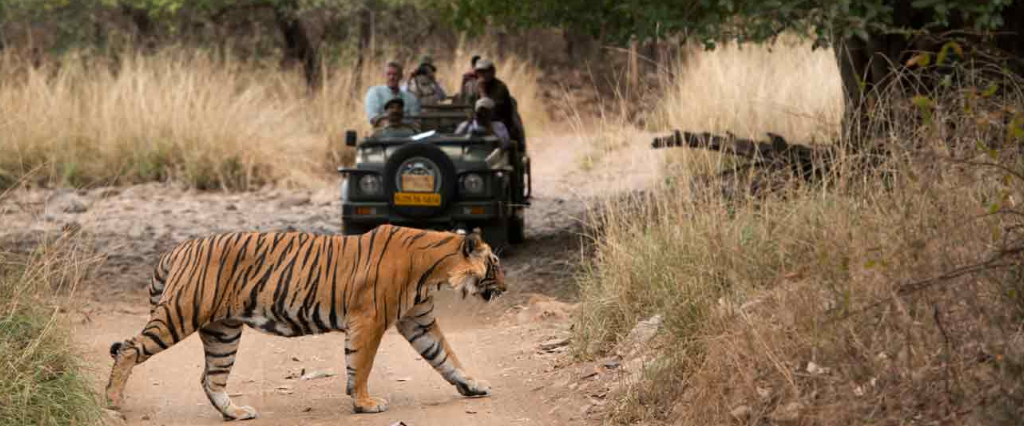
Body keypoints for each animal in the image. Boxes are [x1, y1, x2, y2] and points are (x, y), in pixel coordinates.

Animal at [104, 224, 503, 421]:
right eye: (495, 264)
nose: (505, 287)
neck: (434, 270)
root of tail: (177, 248)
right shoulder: (370, 319)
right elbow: (361, 364)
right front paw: (364, 403)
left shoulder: (417, 321)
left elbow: (446, 357)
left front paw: (473, 386)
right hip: (181, 313)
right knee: (129, 348)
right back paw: (112, 402)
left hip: (223, 332)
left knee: (210, 378)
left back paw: (236, 413)